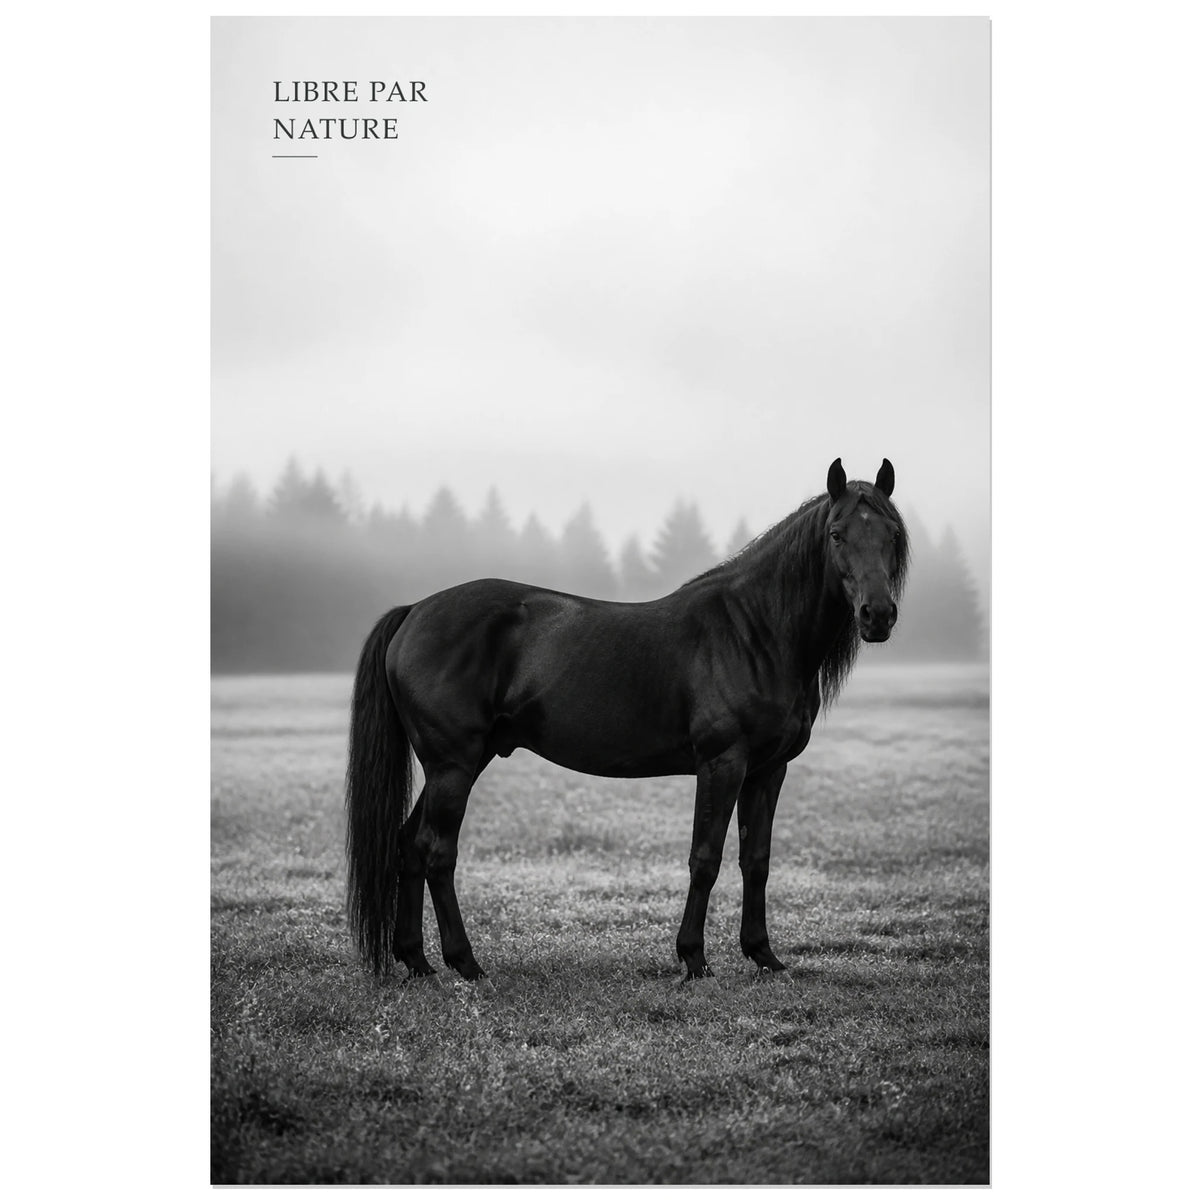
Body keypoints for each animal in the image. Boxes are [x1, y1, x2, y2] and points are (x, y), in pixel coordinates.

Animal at [345, 458, 908, 982]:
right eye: (837, 534)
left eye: (891, 535)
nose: (878, 616)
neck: (756, 632)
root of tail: (415, 611)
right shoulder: (722, 764)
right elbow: (705, 858)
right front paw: (694, 959)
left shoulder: (768, 771)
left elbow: (757, 860)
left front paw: (764, 956)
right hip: (453, 765)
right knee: (435, 850)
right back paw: (466, 964)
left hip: (458, 762)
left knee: (408, 845)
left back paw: (417, 961)